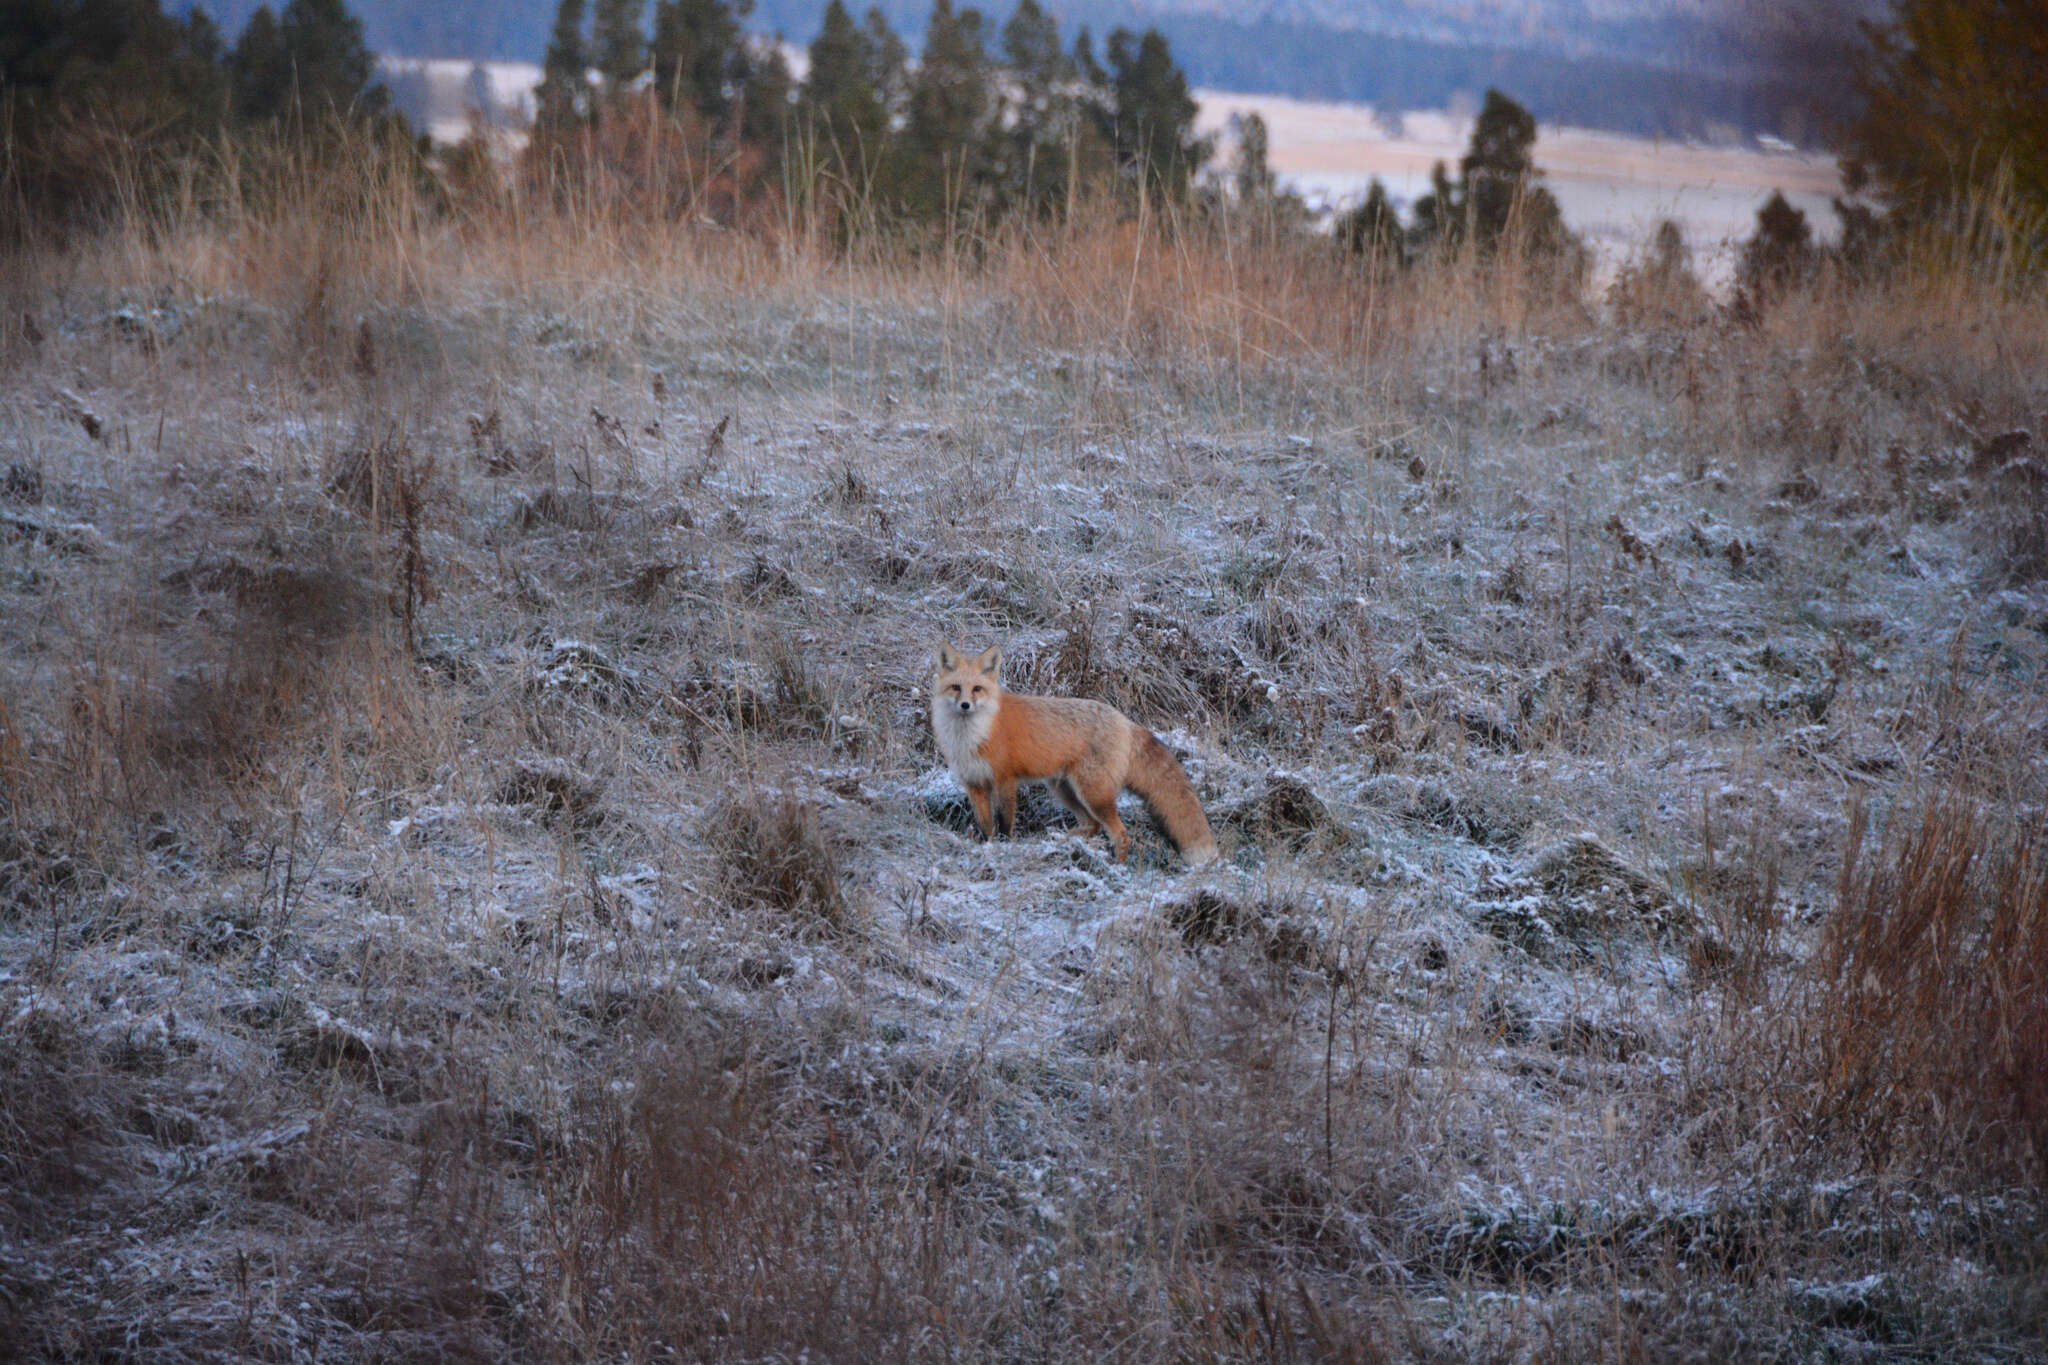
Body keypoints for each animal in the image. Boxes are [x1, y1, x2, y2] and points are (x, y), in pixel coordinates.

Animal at [933, 642, 1212, 863]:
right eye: (956, 687)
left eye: (977, 689)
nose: (965, 705)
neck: (972, 737)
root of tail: (1125, 720)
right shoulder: (974, 784)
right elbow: (985, 826)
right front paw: (985, 849)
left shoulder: (1005, 781)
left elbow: (1004, 824)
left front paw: (1004, 849)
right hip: (1066, 792)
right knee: (1092, 825)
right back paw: (1064, 843)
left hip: (1093, 794)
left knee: (1120, 833)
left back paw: (1116, 868)